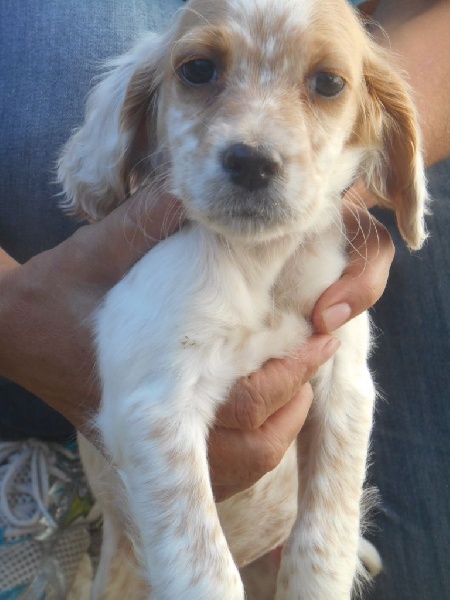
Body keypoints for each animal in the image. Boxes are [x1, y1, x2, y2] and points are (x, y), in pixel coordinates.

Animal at [58, 0, 428, 597]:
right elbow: (206, 571)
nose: (253, 161)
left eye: (328, 82)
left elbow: (323, 544)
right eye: (198, 70)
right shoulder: (156, 407)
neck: (262, 264)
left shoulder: (345, 382)